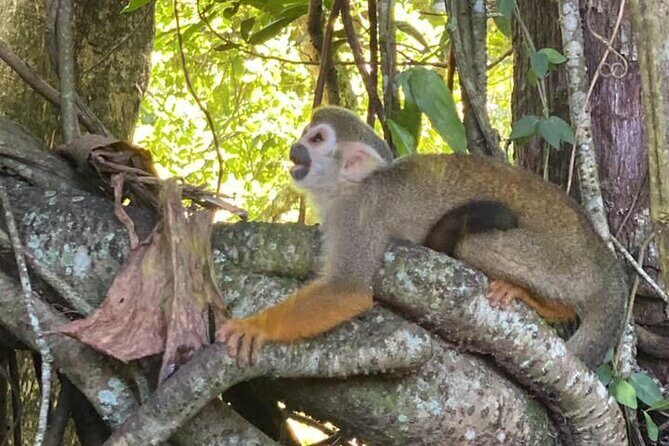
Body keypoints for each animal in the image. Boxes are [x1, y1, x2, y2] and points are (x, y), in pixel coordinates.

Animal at [217, 106, 627, 369]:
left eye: (316, 139)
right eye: (305, 135)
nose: (295, 148)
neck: (354, 185)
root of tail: (607, 263)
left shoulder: (358, 213)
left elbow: (348, 290)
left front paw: (258, 327)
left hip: (565, 262)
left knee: (477, 242)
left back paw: (543, 302)